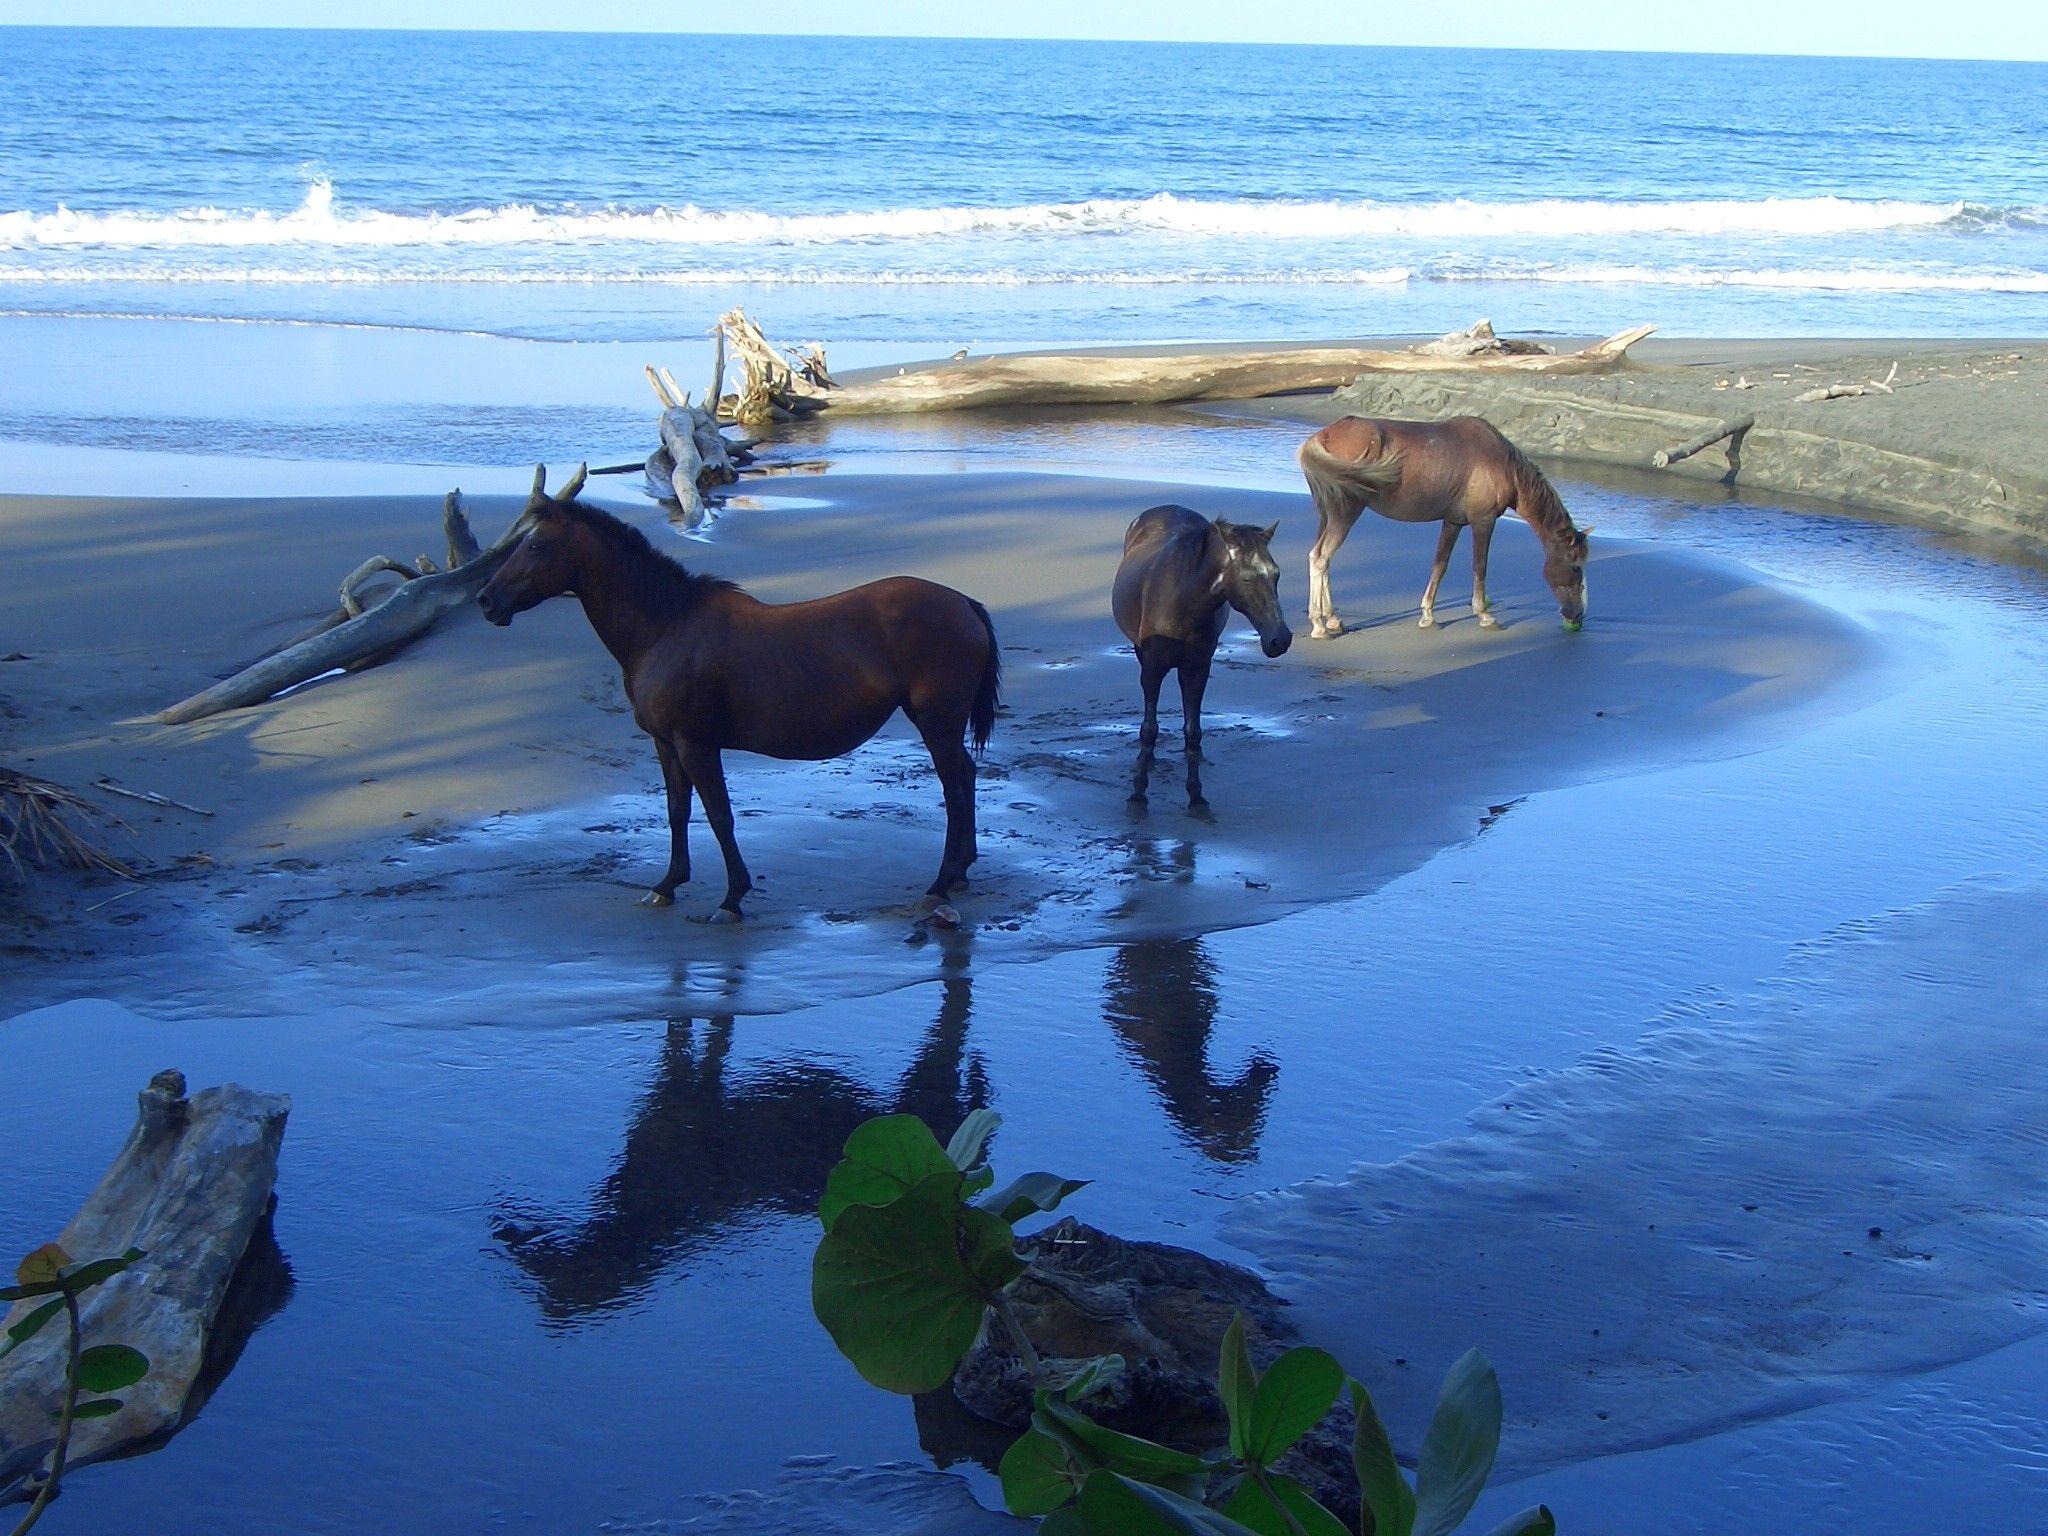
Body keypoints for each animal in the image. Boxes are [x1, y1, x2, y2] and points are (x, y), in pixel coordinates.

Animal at [477, 466, 1001, 922]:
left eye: (537, 545)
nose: (485, 600)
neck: (666, 628)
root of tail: (964, 604)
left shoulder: (696, 745)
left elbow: (719, 815)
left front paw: (732, 898)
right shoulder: (666, 744)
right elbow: (678, 811)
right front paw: (668, 884)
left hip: (936, 723)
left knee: (954, 789)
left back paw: (940, 883)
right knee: (966, 777)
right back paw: (961, 872)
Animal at [1111, 504, 1290, 810]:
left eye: (1277, 574)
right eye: (1246, 578)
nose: (1280, 639)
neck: (1185, 599)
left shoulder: (1198, 668)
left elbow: (1193, 731)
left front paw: (1195, 795)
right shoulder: (1152, 668)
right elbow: (1149, 729)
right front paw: (1139, 791)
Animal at [1297, 415, 1594, 638]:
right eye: (1575, 567)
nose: (1578, 615)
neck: (1502, 463)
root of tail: (1321, 437)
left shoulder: (1453, 522)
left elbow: (1439, 565)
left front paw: (1428, 616)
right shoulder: (1483, 521)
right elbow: (1479, 567)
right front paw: (1484, 615)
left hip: (1326, 515)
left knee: (1319, 557)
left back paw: (1332, 619)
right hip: (1345, 514)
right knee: (1320, 558)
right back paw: (1319, 625)